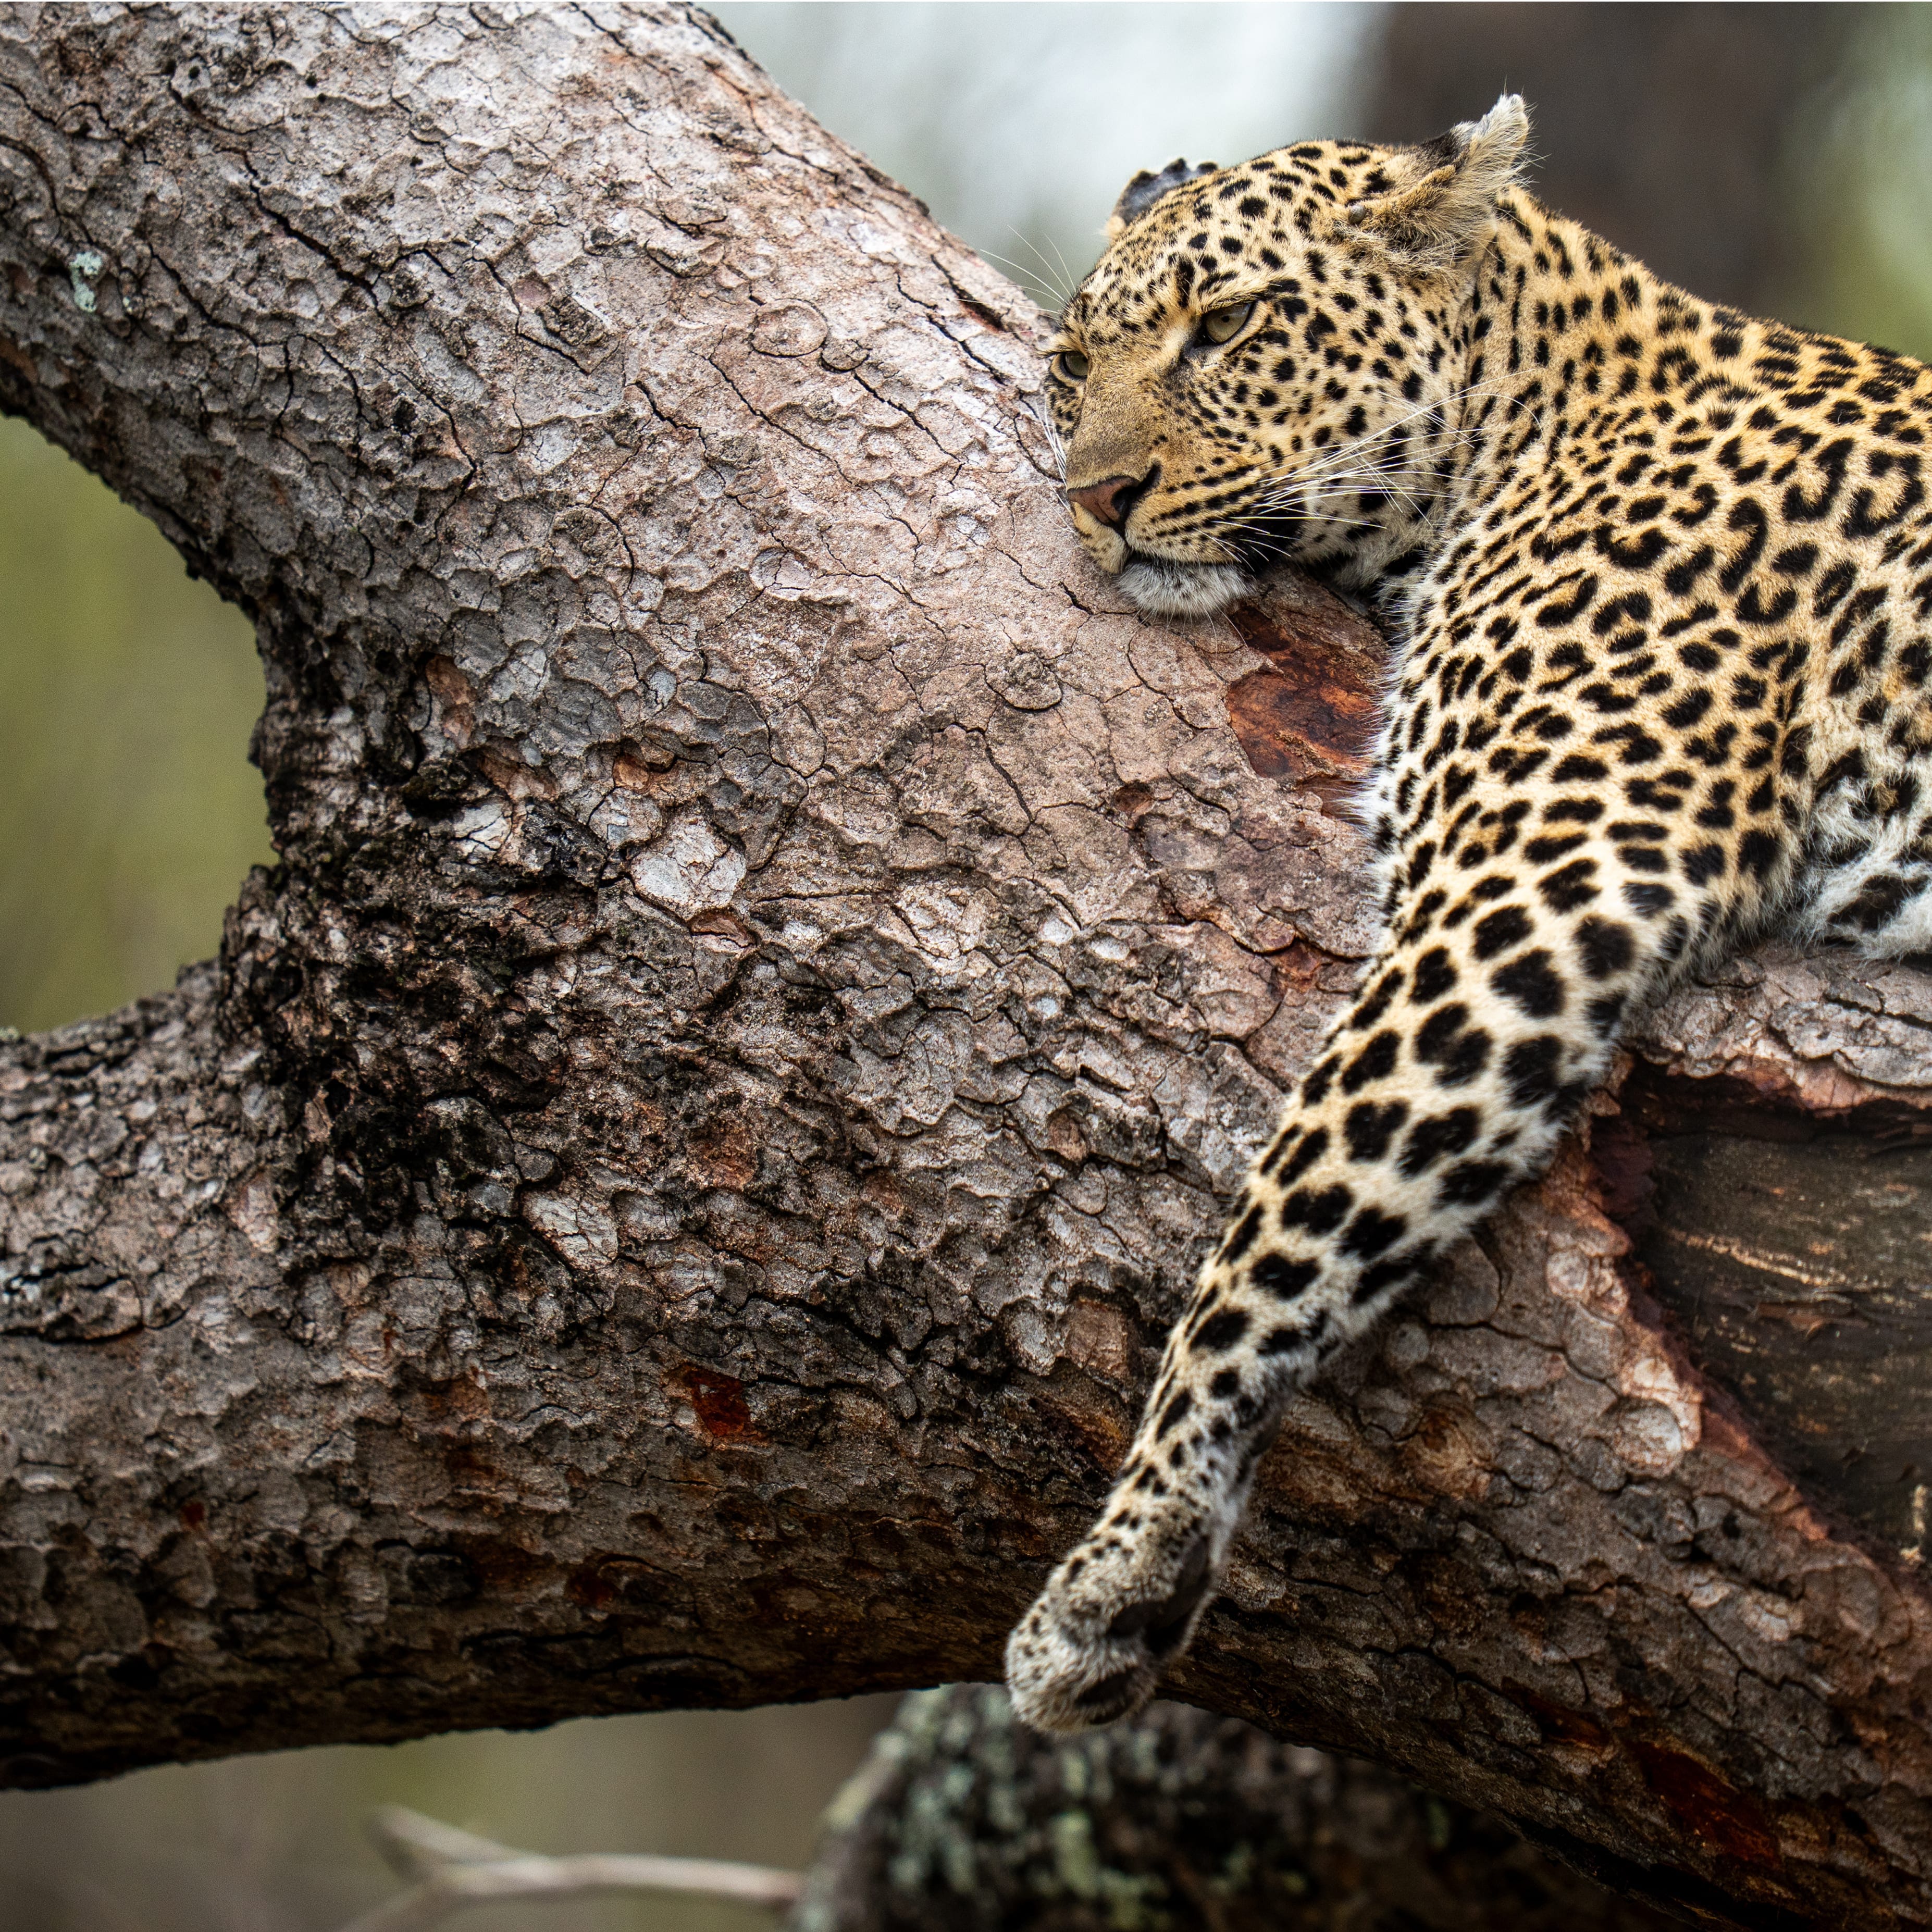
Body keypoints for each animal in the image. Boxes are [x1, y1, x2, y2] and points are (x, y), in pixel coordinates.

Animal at [1005, 94, 1932, 1734]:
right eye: (1069, 368)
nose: (1095, 502)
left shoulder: (1545, 870)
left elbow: (1271, 1230)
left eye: (1225, 325)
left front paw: (1126, 1556)